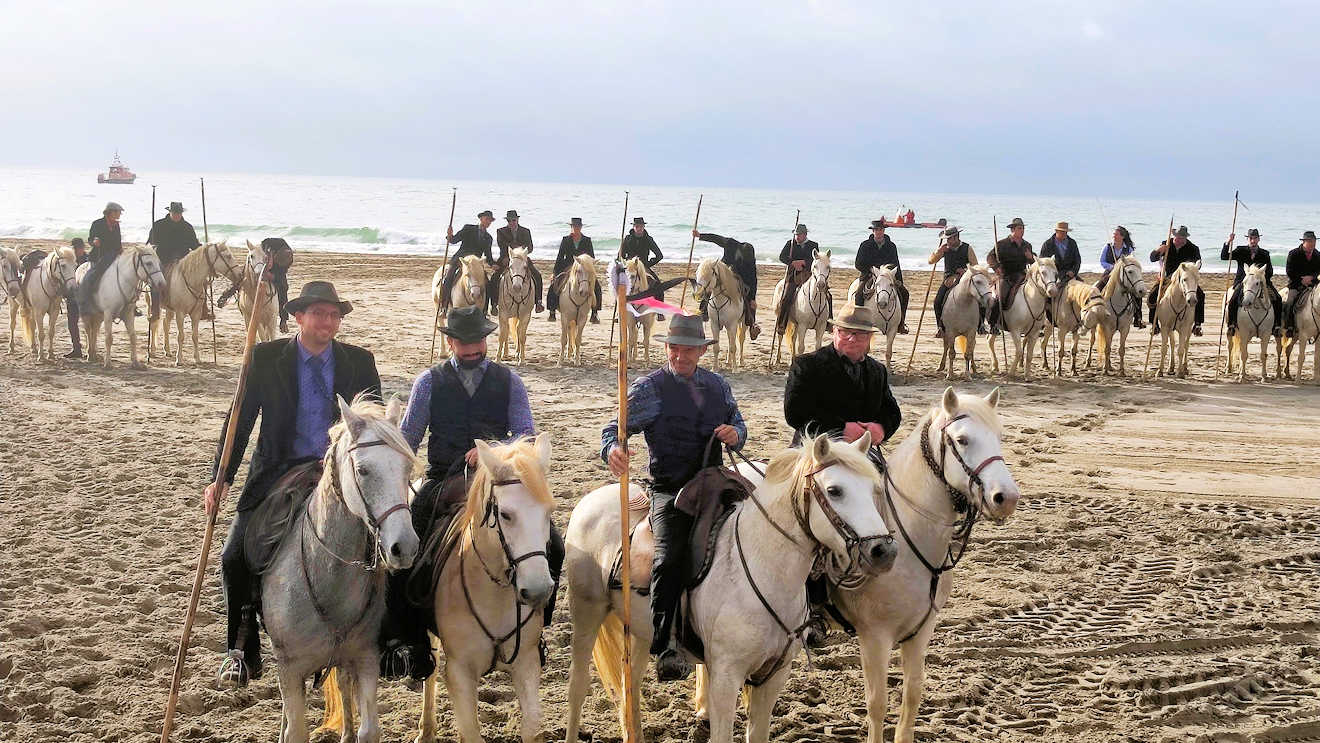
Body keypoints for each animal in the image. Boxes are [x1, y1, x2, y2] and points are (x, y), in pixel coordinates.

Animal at [258, 398, 417, 743]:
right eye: (363, 470)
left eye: (407, 468)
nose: (405, 547)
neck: (328, 576)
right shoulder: (290, 669)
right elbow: (295, 730)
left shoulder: (365, 657)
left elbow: (369, 728)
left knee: (344, 685)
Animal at [411, 435, 557, 743]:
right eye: (505, 514)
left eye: (548, 512)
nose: (538, 590)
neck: (495, 596)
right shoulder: (460, 673)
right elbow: (471, 730)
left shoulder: (526, 663)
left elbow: (531, 725)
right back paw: (426, 730)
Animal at [567, 430, 897, 743]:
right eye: (834, 490)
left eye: (874, 489)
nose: (883, 550)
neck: (763, 569)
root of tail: (594, 498)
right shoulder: (726, 678)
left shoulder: (773, 675)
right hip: (587, 613)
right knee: (578, 686)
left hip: (638, 631)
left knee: (630, 685)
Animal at [834, 390, 1019, 743]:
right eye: (962, 440)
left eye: (1000, 437)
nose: (1007, 498)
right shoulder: (874, 637)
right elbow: (877, 703)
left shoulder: (921, 631)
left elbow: (912, 694)